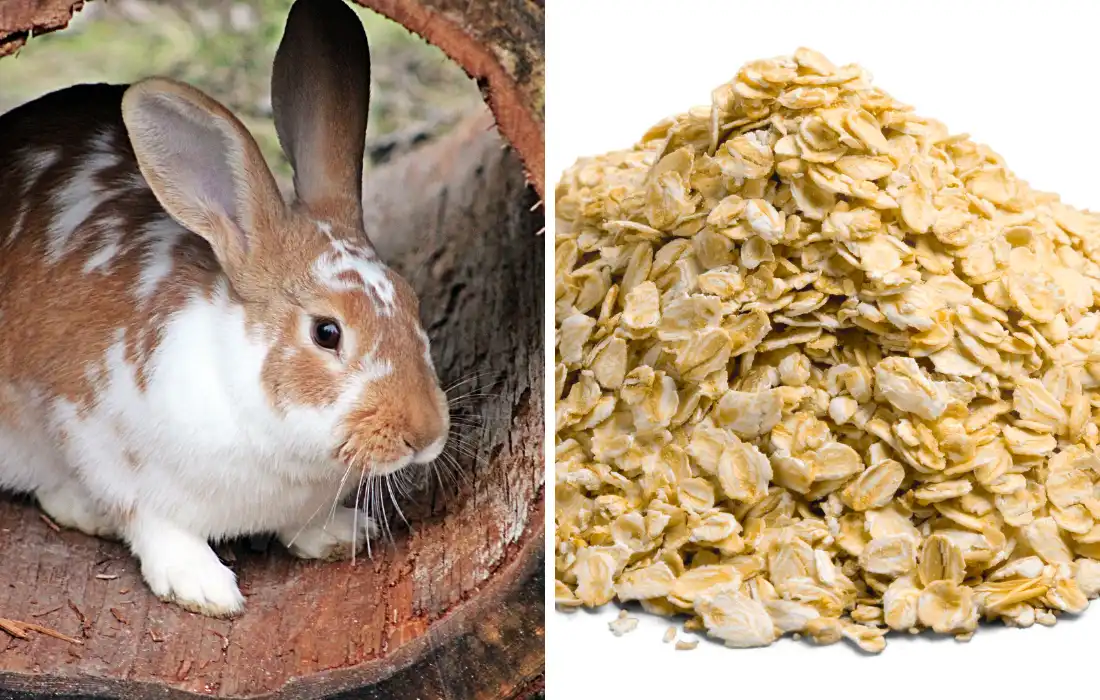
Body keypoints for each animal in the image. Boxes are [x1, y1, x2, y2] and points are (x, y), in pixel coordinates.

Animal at [0, 0, 450, 617]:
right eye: (326, 332)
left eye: (410, 299)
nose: (425, 434)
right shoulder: (102, 444)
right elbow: (152, 522)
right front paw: (205, 588)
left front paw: (339, 534)